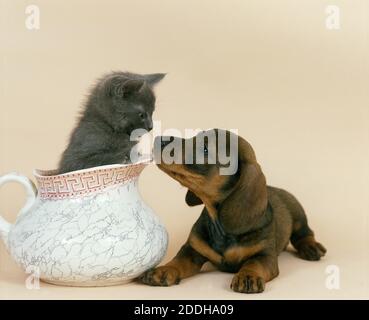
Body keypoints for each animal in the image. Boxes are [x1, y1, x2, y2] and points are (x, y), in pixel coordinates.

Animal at [140, 129, 324, 292]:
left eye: (205, 149)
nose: (159, 139)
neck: (221, 226)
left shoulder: (265, 255)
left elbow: (253, 263)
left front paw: (248, 276)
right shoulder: (193, 249)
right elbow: (179, 261)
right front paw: (164, 270)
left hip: (299, 215)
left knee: (305, 233)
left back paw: (311, 247)